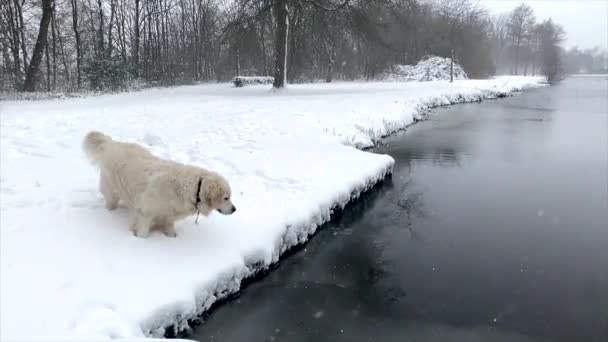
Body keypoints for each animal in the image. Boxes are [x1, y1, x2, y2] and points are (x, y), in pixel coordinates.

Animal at [81, 131, 233, 238]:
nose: (234, 209)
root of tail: (112, 144)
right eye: (226, 197)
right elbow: (143, 232)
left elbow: (170, 230)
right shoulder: (146, 212)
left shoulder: (169, 216)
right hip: (112, 190)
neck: (191, 189)